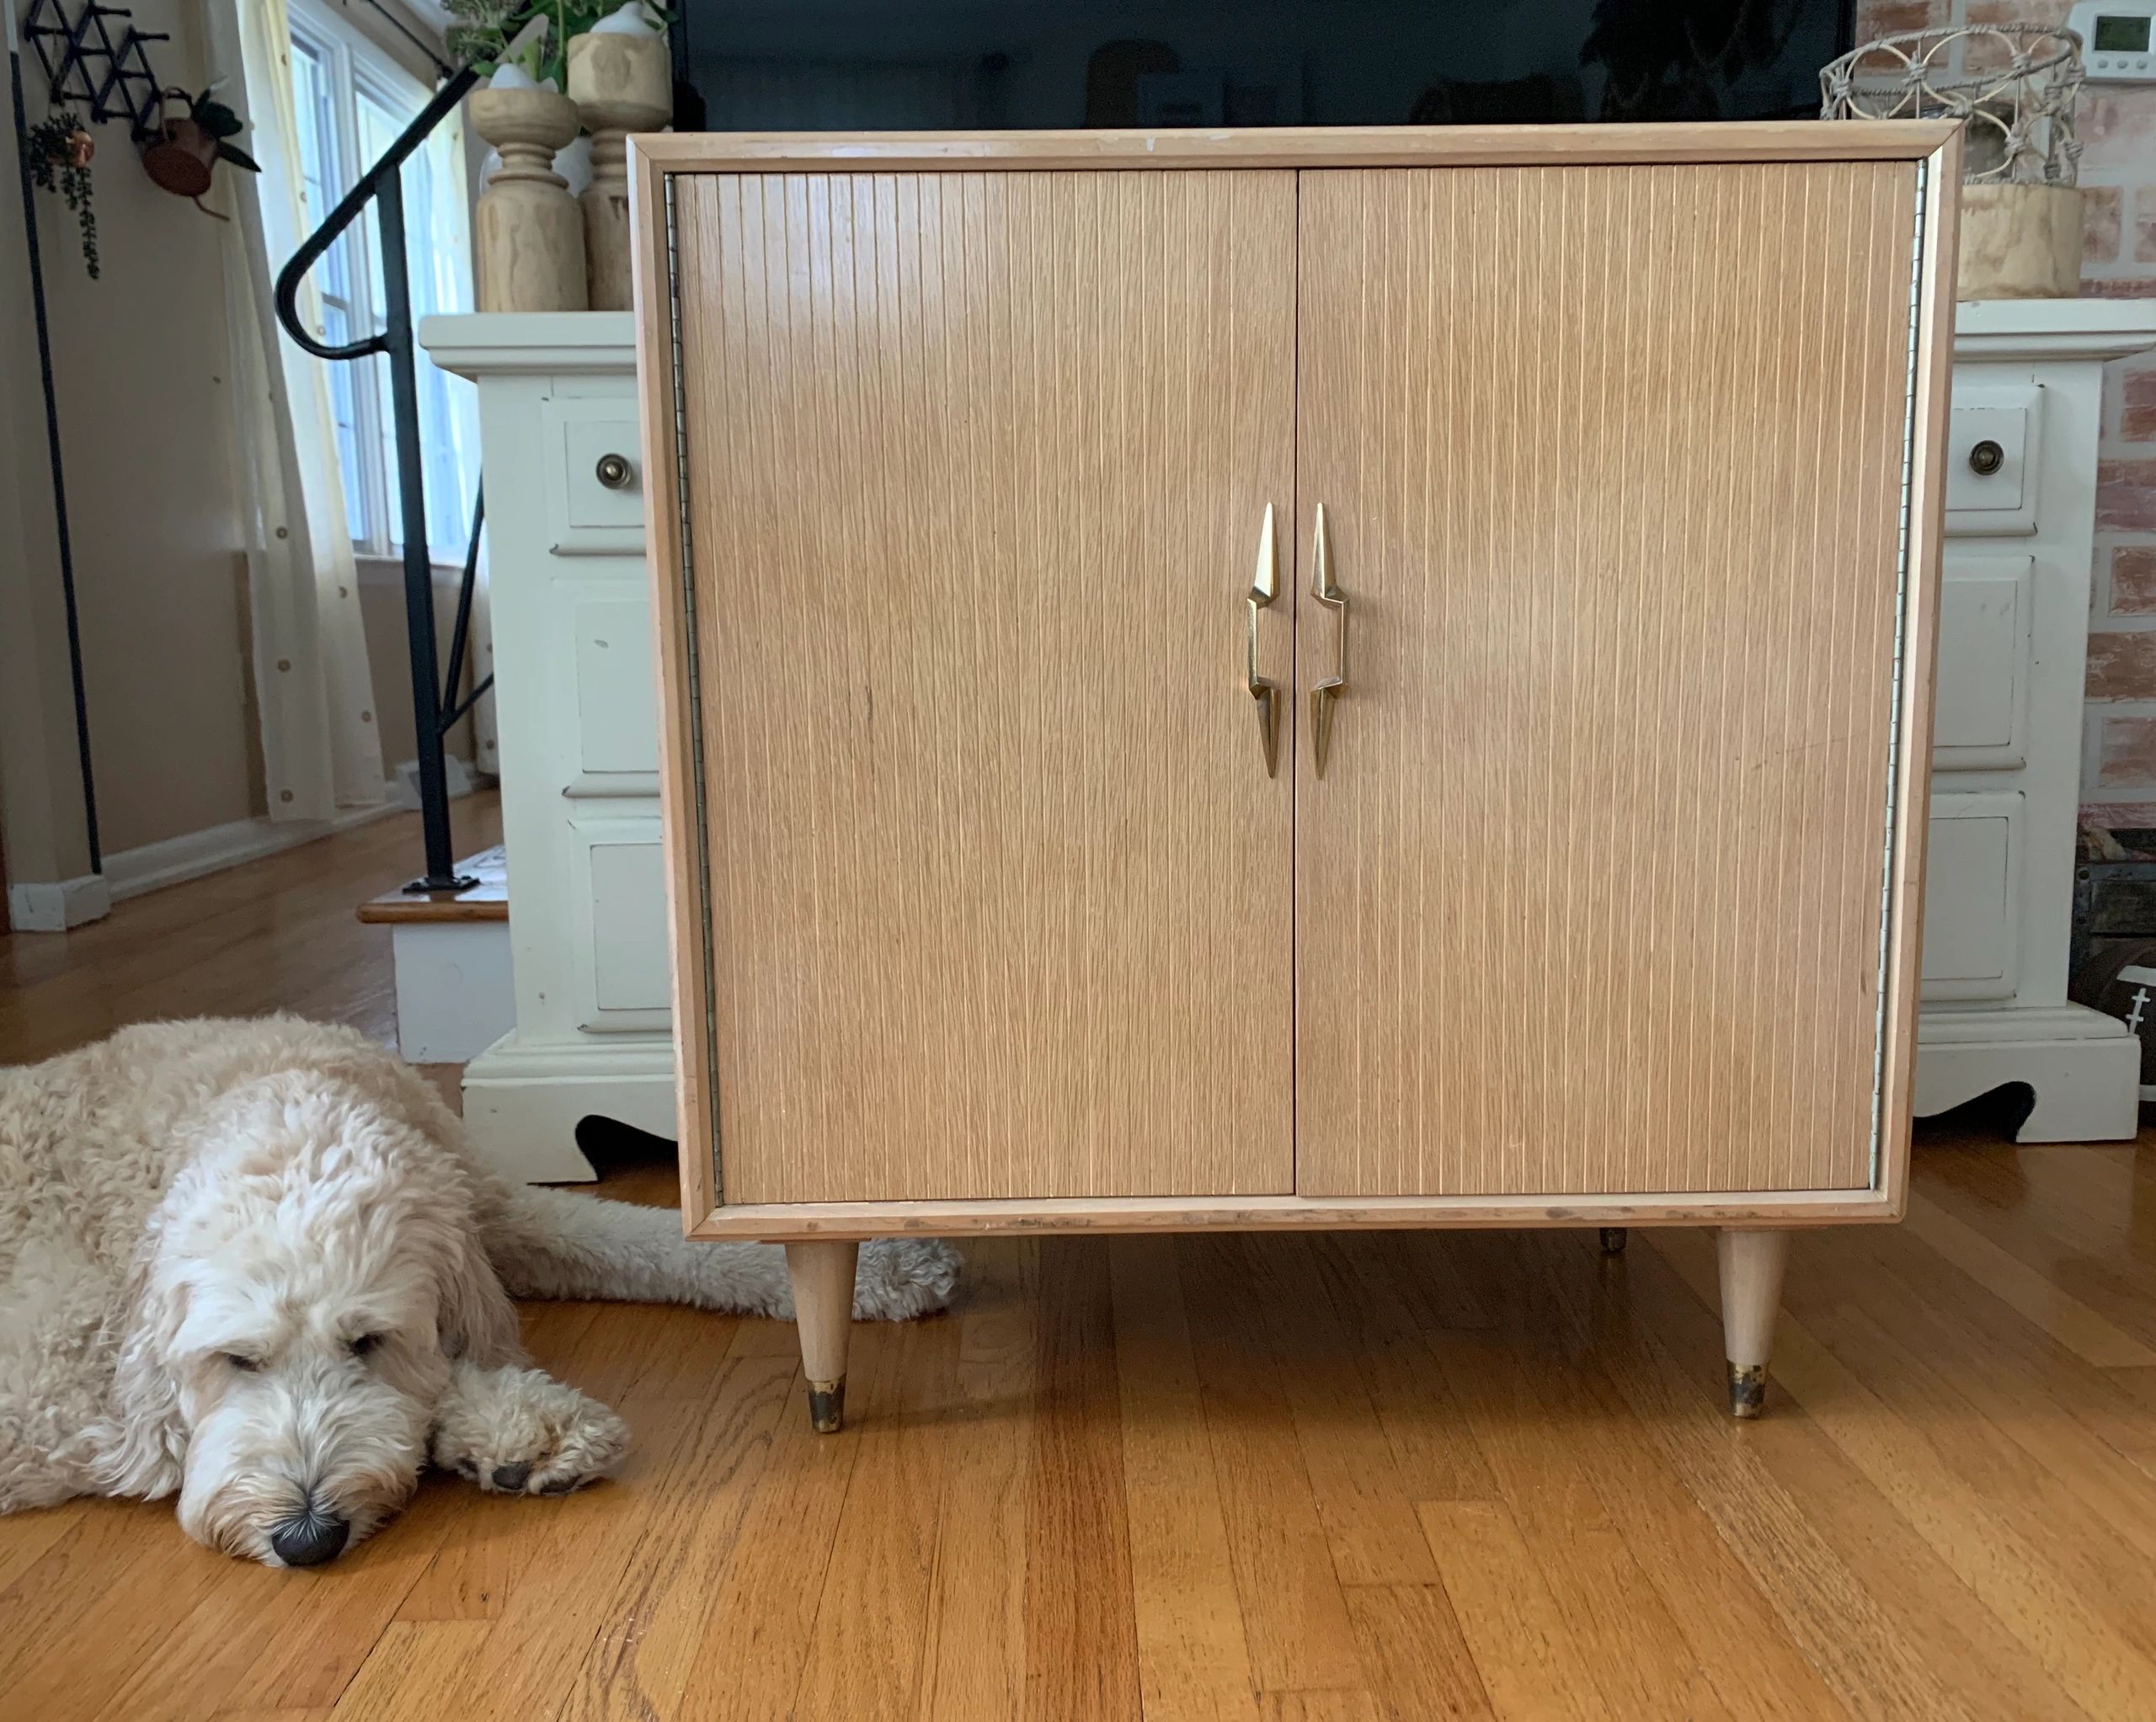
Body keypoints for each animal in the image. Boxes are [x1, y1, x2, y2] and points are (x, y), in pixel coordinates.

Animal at [0, 1017, 961, 1569]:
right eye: (235, 1359)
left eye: (368, 1340)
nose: (307, 1539)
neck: (277, 1093)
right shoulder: (45, 1380)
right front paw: (523, 1428)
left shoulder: (489, 1206)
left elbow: (643, 1239)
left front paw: (885, 1264)